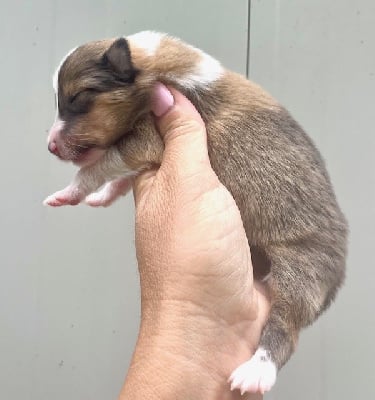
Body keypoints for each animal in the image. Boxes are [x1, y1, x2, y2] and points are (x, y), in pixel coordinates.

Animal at [44, 31, 350, 394]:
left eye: (79, 96)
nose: (50, 146)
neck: (159, 70)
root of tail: (338, 278)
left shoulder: (146, 140)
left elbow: (95, 168)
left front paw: (69, 191)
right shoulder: (147, 149)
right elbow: (119, 177)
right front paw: (103, 195)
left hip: (302, 270)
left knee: (285, 328)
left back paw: (256, 371)